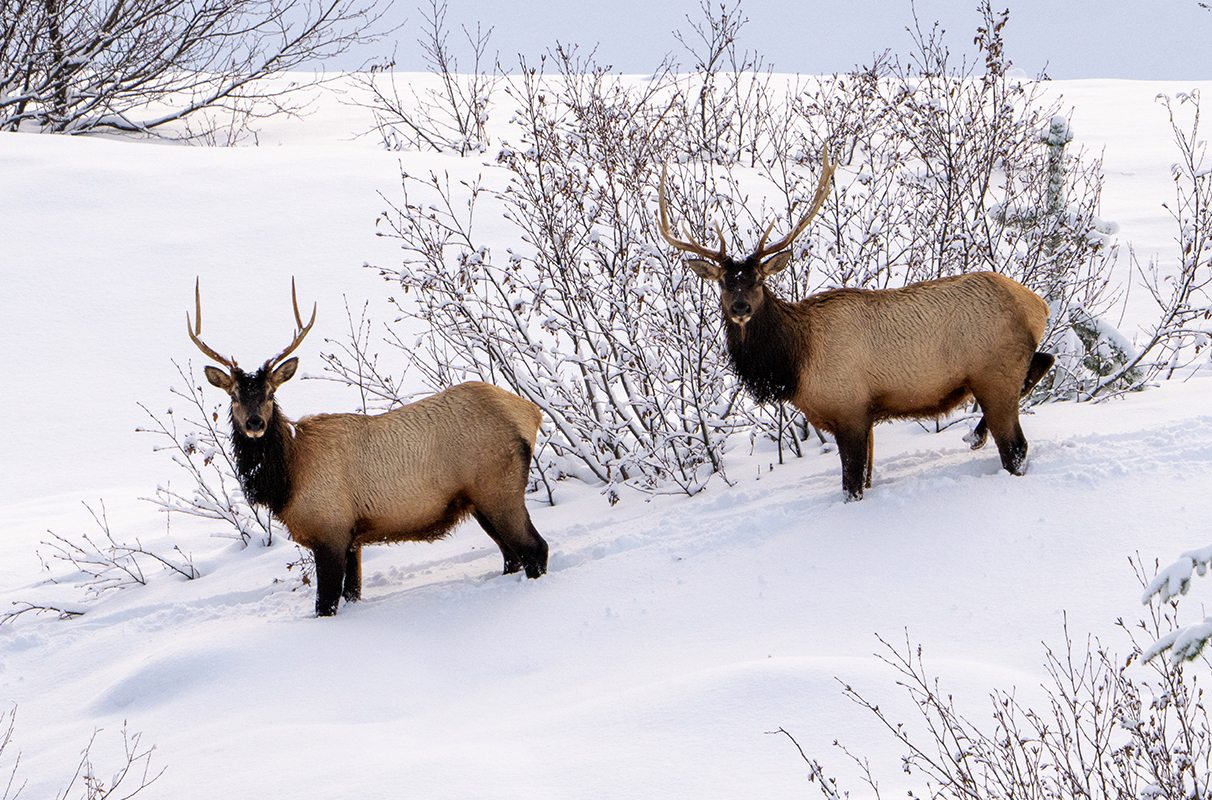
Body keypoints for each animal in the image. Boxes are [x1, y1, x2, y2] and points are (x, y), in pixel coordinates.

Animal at [187, 279, 549, 616]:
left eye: (270, 394)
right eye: (234, 395)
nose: (254, 423)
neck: (287, 479)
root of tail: (531, 413)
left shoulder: (331, 530)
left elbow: (325, 605)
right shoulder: (352, 539)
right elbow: (352, 594)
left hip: (498, 489)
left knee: (535, 550)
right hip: (479, 501)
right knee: (512, 556)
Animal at [657, 147, 1055, 502]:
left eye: (758, 280)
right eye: (725, 282)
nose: (740, 307)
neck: (792, 364)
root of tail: (1038, 305)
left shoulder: (849, 409)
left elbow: (852, 487)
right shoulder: (863, 415)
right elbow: (865, 478)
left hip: (993, 373)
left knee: (1016, 446)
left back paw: (983, 440)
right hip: (1003, 368)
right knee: (1044, 361)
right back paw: (975, 434)